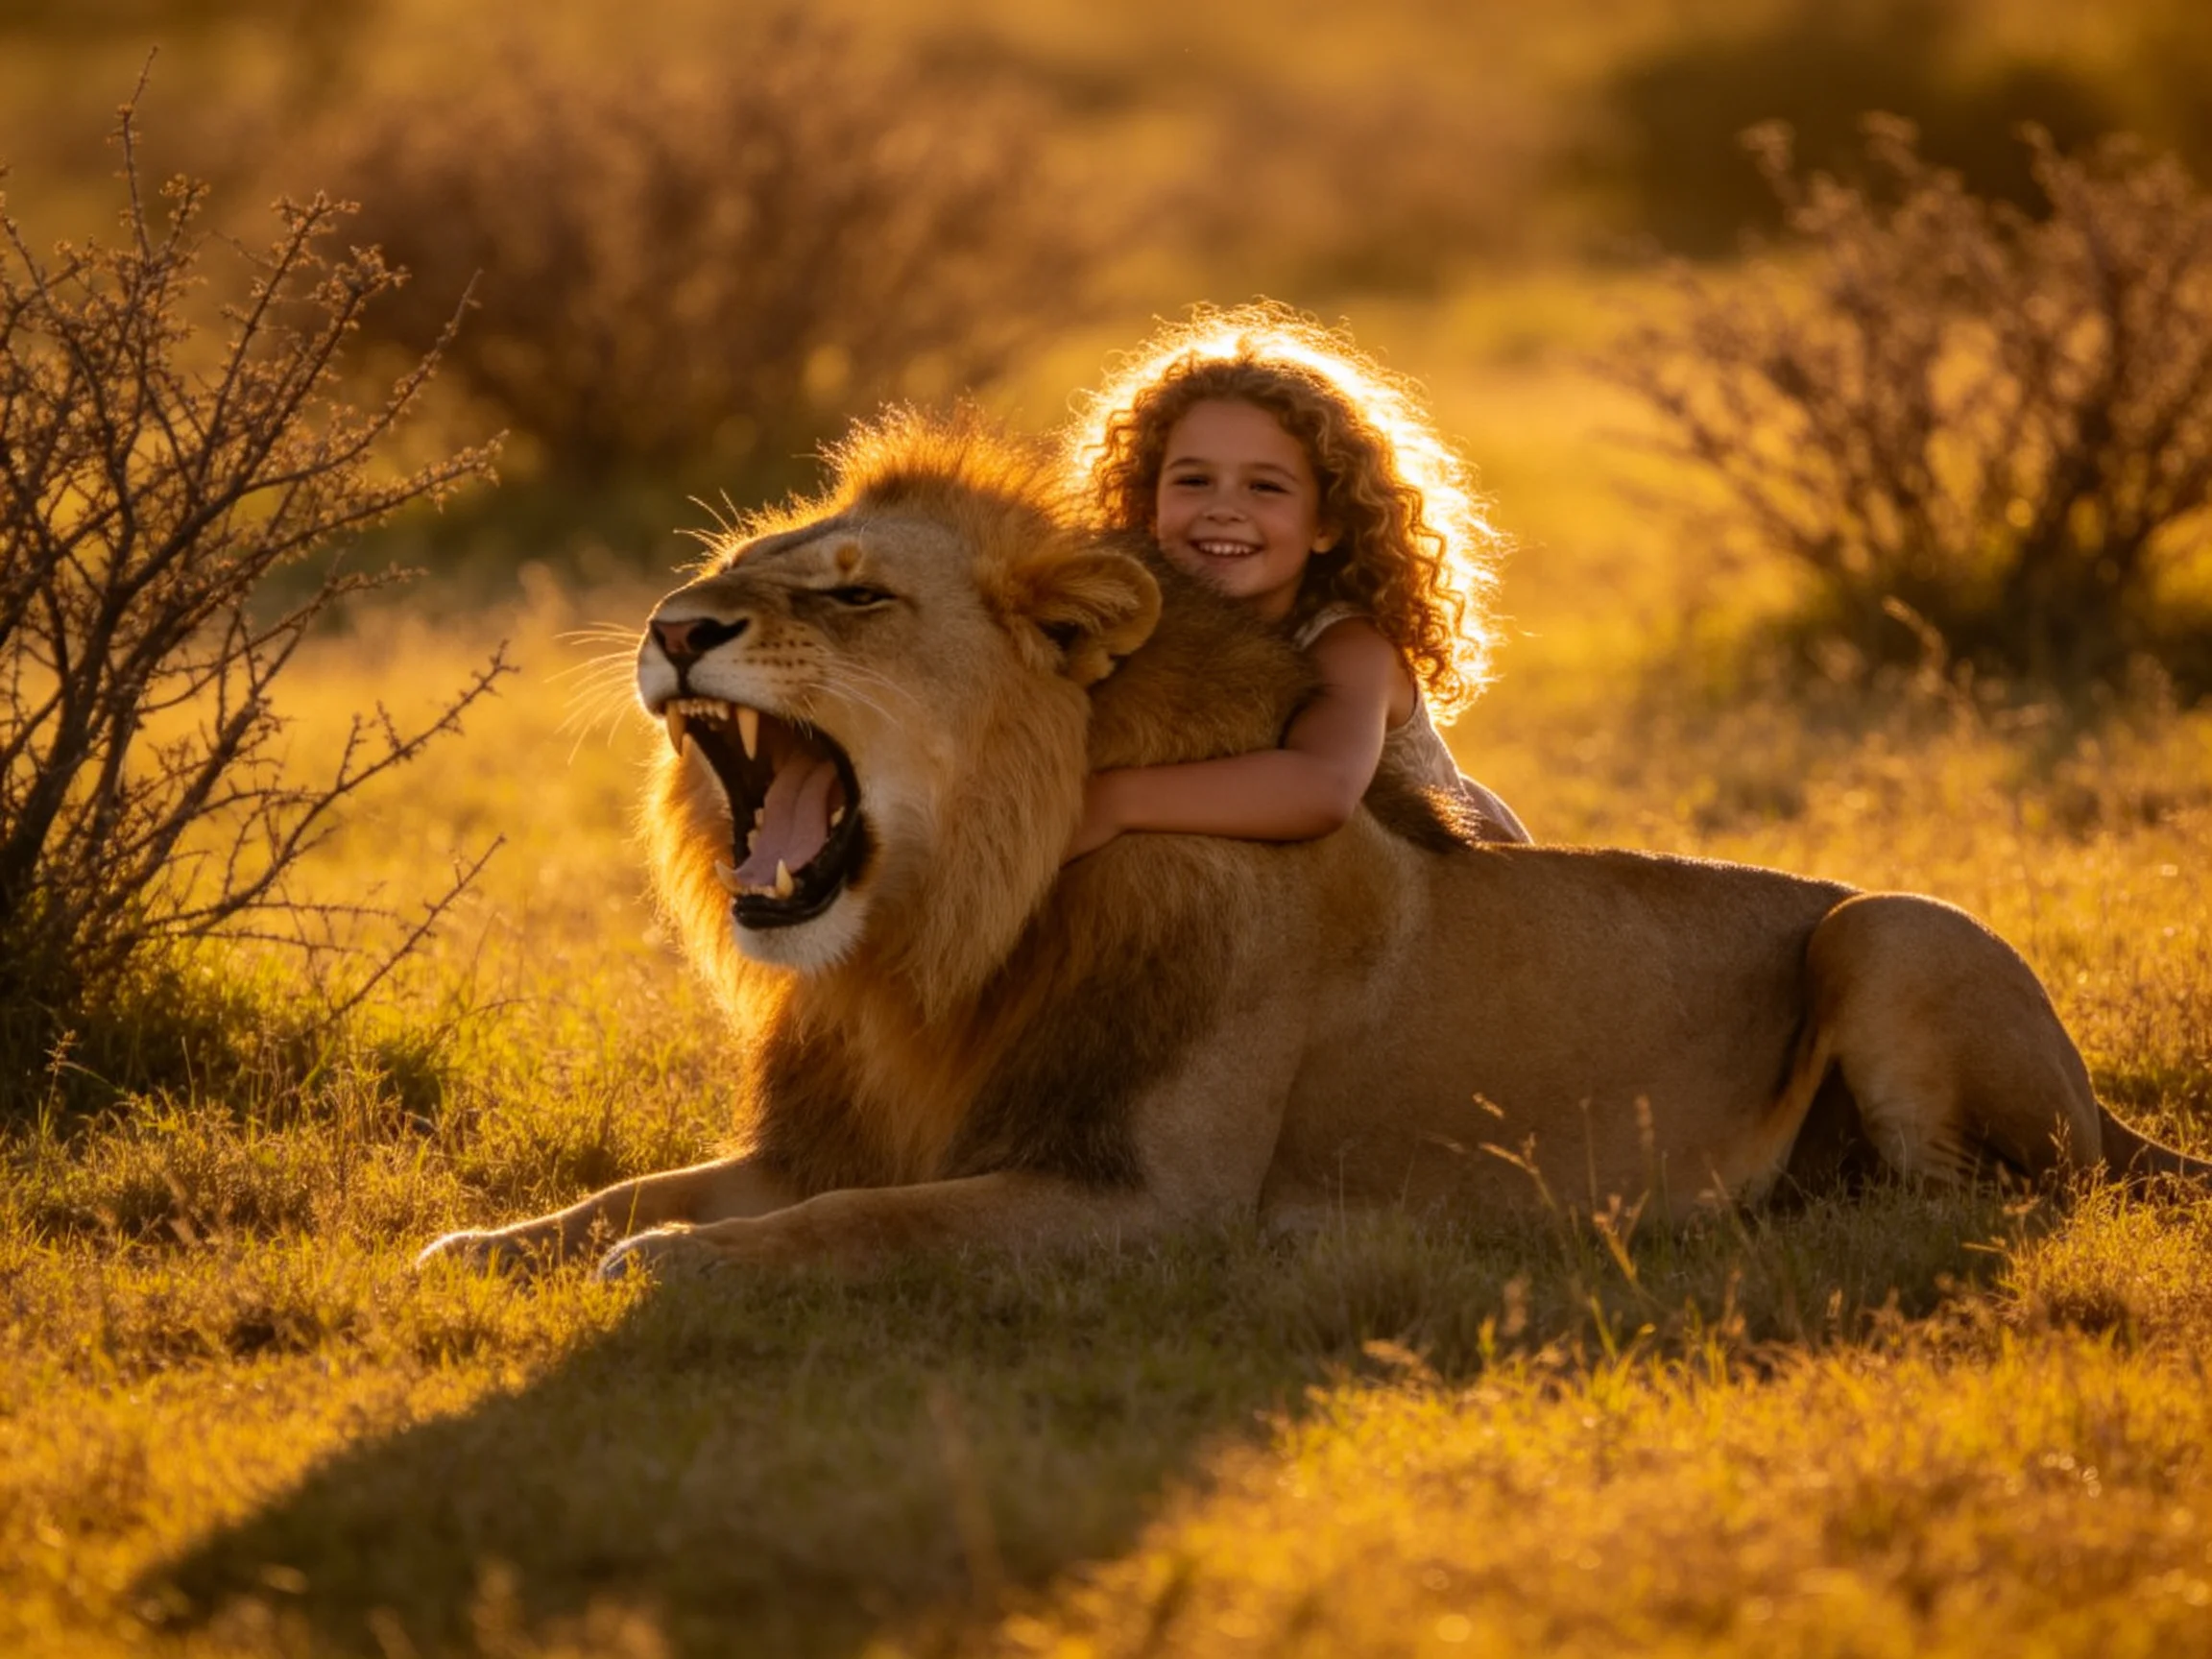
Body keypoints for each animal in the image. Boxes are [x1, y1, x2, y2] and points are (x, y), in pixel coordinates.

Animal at [419, 412, 2208, 1280]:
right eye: (734, 566)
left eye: (852, 594)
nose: (672, 627)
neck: (937, 943)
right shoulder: (835, 1132)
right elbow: (640, 1187)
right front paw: (487, 1242)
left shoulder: (1147, 1200)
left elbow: (858, 1229)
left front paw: (663, 1264)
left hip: (1889, 926)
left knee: (1969, 1201)